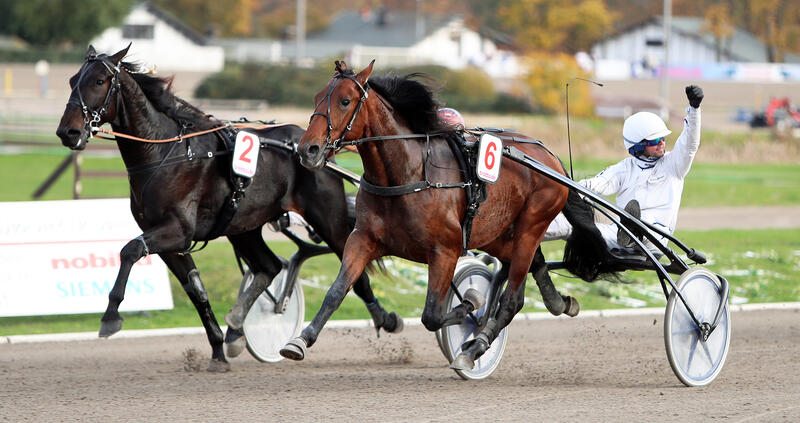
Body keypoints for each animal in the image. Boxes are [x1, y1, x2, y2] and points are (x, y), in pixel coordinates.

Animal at [54, 44, 400, 372]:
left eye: (99, 81)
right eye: (71, 81)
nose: (68, 132)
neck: (166, 152)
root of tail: (316, 147)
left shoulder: (177, 231)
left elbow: (129, 251)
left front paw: (110, 317)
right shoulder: (168, 241)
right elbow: (196, 291)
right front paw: (218, 350)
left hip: (327, 217)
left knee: (353, 269)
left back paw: (385, 318)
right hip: (243, 225)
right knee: (269, 266)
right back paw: (235, 327)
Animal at [284, 61, 616, 372]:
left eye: (345, 101)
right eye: (317, 97)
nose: (308, 149)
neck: (408, 175)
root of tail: (550, 158)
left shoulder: (446, 250)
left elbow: (432, 315)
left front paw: (472, 304)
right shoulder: (362, 240)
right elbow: (337, 291)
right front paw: (299, 340)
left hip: (531, 225)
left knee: (511, 299)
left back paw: (474, 348)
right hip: (495, 233)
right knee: (532, 268)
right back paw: (560, 303)